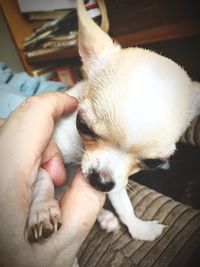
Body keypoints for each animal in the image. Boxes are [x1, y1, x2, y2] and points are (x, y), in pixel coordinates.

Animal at [25, 0, 199, 245]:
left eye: (154, 163)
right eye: (83, 126)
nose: (101, 181)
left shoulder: (118, 179)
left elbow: (124, 205)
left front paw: (138, 227)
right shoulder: (47, 150)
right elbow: (42, 179)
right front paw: (43, 210)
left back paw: (106, 217)